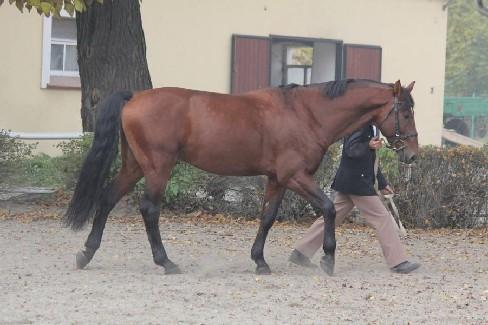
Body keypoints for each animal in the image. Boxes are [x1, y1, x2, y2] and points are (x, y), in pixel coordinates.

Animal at [63, 78, 418, 274]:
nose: (413, 153)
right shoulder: (295, 175)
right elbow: (329, 209)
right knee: (149, 210)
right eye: (405, 111)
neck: (304, 113)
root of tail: (135, 96)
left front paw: (260, 261)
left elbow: (267, 217)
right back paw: (166, 262)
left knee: (107, 198)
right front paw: (328, 259)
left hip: (135, 166)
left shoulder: (277, 179)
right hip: (157, 168)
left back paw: (86, 253)